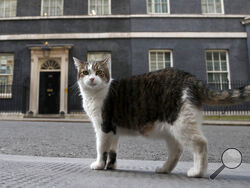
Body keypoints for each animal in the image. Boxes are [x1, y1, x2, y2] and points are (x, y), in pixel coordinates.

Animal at [72, 56, 250, 177]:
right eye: (85, 72)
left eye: (99, 72)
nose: (92, 78)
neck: (95, 95)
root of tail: (189, 77)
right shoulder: (114, 131)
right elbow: (112, 150)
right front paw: (111, 166)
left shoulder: (103, 126)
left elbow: (101, 148)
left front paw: (99, 165)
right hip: (170, 129)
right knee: (177, 150)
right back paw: (164, 169)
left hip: (181, 123)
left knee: (200, 144)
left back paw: (197, 172)